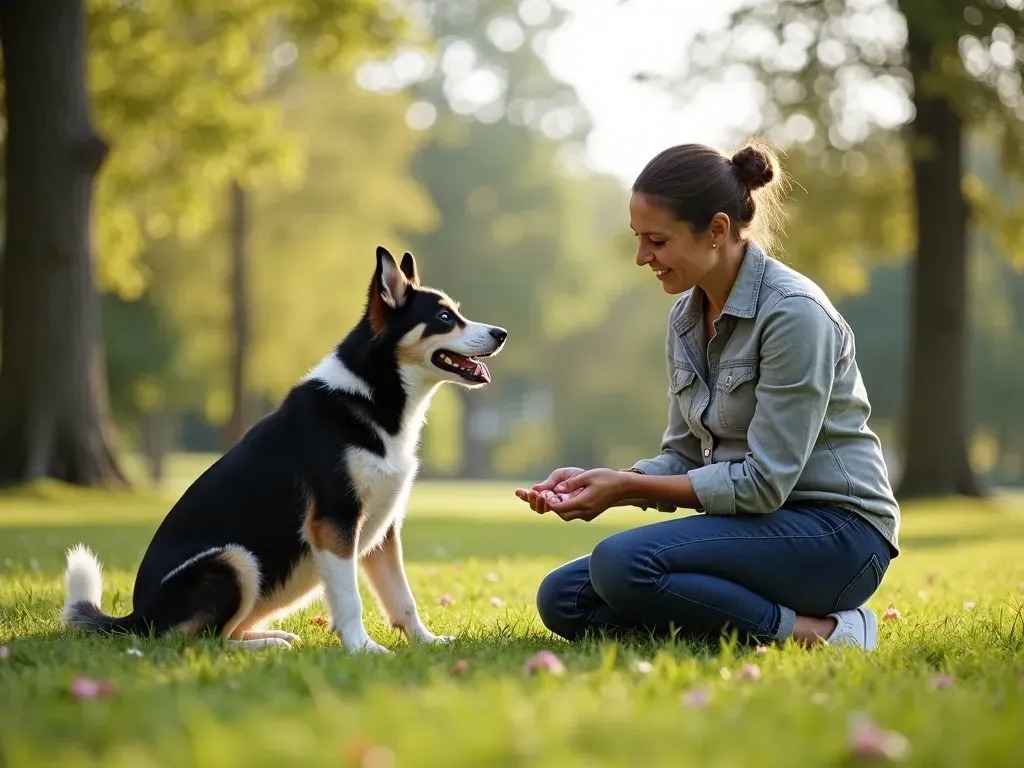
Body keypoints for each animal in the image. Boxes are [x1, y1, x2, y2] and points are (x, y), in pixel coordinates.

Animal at [60, 246, 507, 655]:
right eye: (444, 318)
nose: (501, 333)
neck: (372, 395)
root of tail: (135, 619)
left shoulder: (382, 531)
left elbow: (403, 599)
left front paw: (428, 642)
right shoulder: (335, 521)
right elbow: (351, 601)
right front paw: (363, 649)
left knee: (222, 631)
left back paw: (272, 637)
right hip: (234, 561)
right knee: (199, 640)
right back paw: (266, 646)